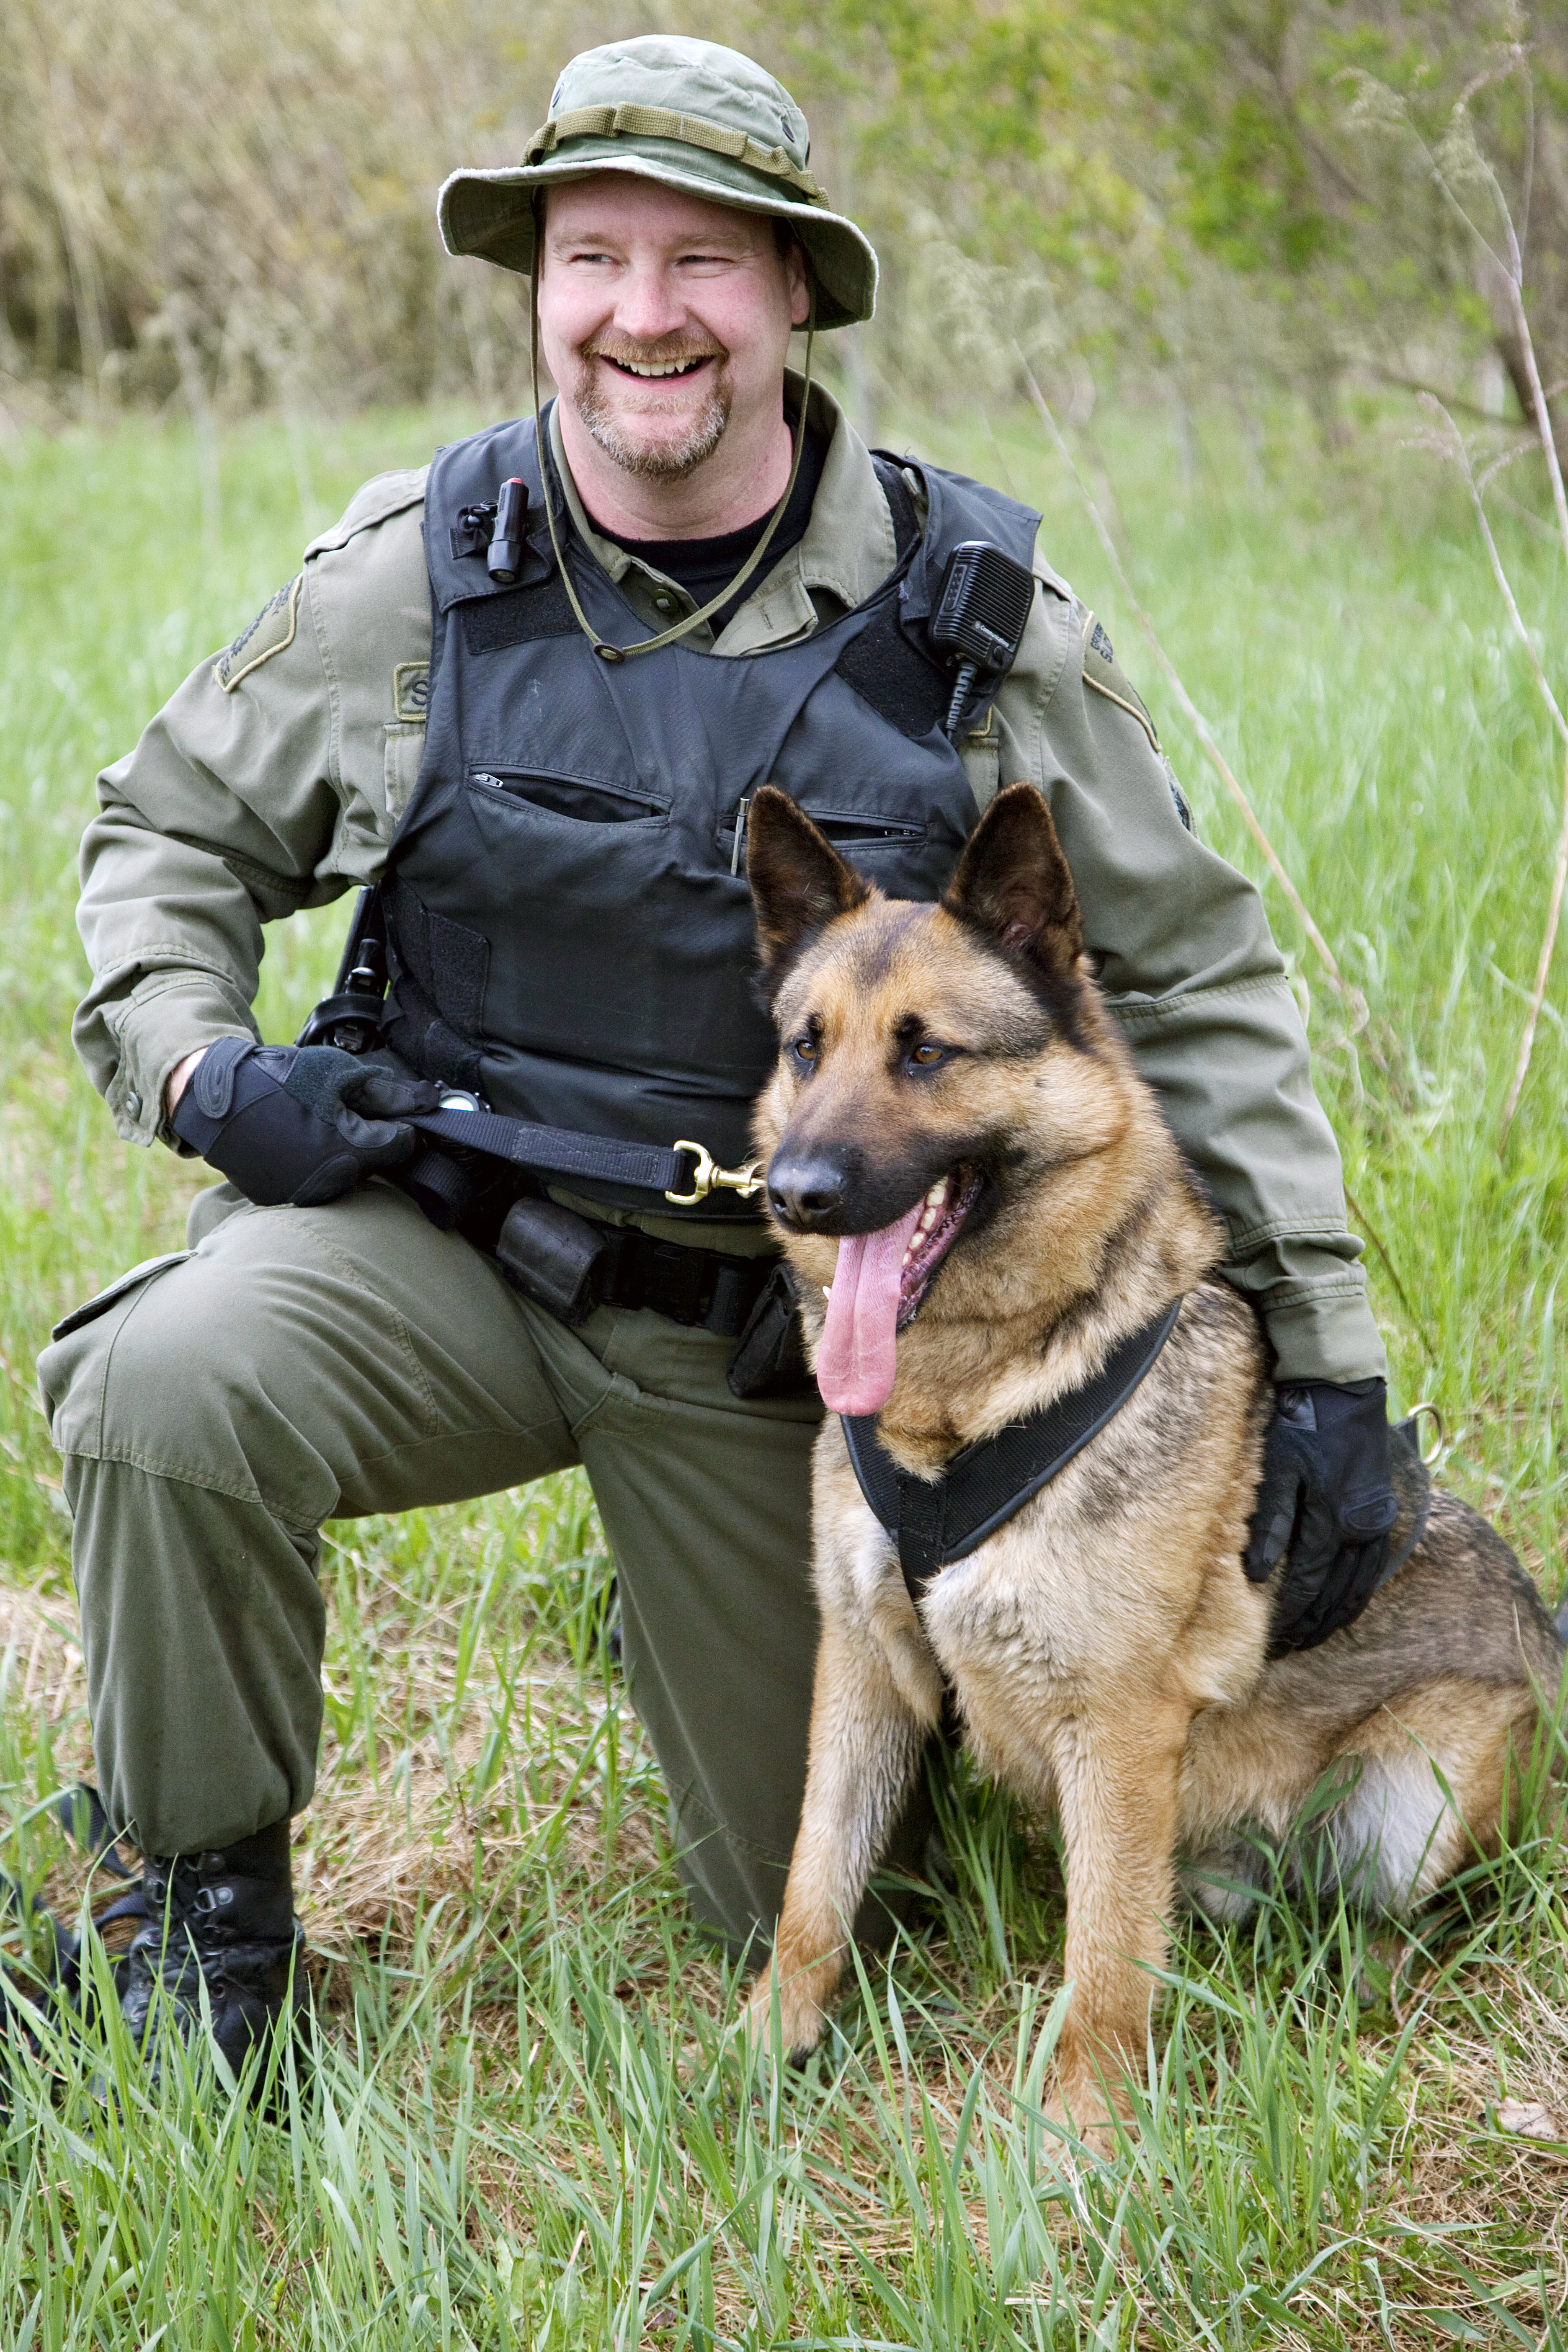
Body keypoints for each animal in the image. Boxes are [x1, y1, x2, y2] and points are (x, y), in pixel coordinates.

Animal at [743, 781, 1561, 2145]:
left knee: (1405, 1917)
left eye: (925, 1053)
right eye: (807, 1048)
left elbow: (1105, 1956)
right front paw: (764, 2041)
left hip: (1414, 1798)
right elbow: (815, 1879)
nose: (795, 1193)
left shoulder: (1120, 1727)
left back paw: (1354, 1981)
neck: (967, 1404)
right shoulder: (861, 1667)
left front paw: (1081, 2132)